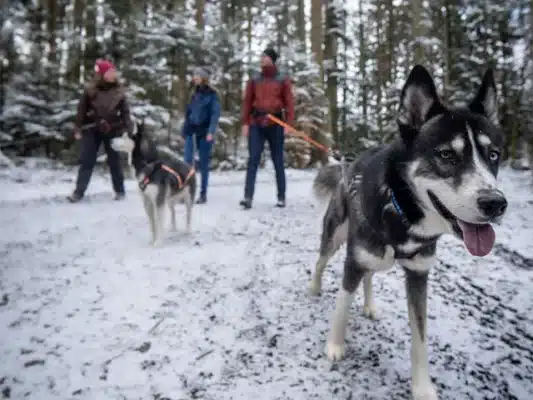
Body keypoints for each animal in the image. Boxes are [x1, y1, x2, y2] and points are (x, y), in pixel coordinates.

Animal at [308, 66, 508, 400]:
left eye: (493, 155)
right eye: (446, 155)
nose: (495, 203)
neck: (400, 210)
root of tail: (346, 166)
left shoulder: (418, 275)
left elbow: (420, 337)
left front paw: (422, 387)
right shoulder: (353, 261)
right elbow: (341, 306)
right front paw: (335, 345)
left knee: (370, 277)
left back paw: (370, 305)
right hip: (335, 237)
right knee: (321, 261)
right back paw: (314, 287)